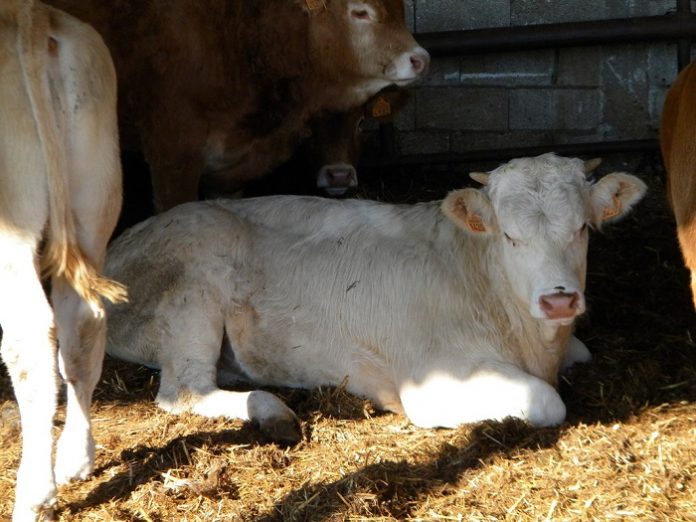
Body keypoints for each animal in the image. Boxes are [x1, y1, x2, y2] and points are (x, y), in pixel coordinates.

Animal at [104, 152, 648, 436]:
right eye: (510, 237)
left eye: (582, 228)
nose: (559, 300)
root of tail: (120, 242)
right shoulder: (433, 380)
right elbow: (547, 402)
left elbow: (582, 351)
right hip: (194, 287)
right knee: (183, 391)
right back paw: (271, 412)